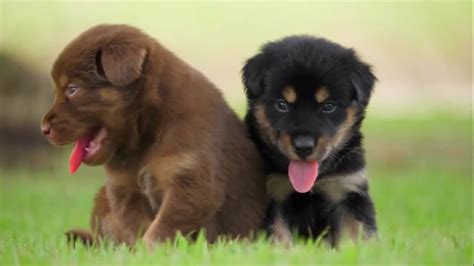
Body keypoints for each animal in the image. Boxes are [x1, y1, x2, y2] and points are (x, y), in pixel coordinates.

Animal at [40, 23, 266, 248]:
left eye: (72, 89)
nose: (44, 129)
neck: (146, 136)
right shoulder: (123, 188)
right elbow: (139, 226)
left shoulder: (191, 182)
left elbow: (164, 226)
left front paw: (151, 250)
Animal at [243, 35, 376, 247]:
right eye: (282, 104)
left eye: (328, 106)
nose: (304, 147)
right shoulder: (272, 195)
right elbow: (279, 236)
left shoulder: (348, 191)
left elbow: (360, 233)